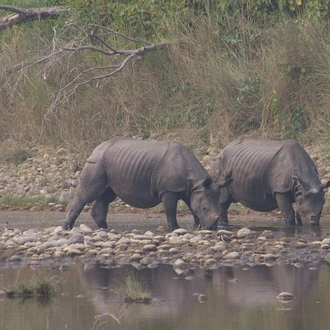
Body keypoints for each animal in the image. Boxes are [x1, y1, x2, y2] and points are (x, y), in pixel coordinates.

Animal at [62, 138, 232, 231]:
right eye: (205, 208)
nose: (212, 228)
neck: (196, 182)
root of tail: (96, 148)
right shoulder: (168, 190)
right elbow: (171, 211)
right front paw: (176, 229)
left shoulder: (191, 190)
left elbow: (192, 207)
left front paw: (197, 227)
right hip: (96, 163)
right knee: (88, 194)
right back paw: (67, 227)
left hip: (106, 164)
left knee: (106, 195)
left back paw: (104, 228)